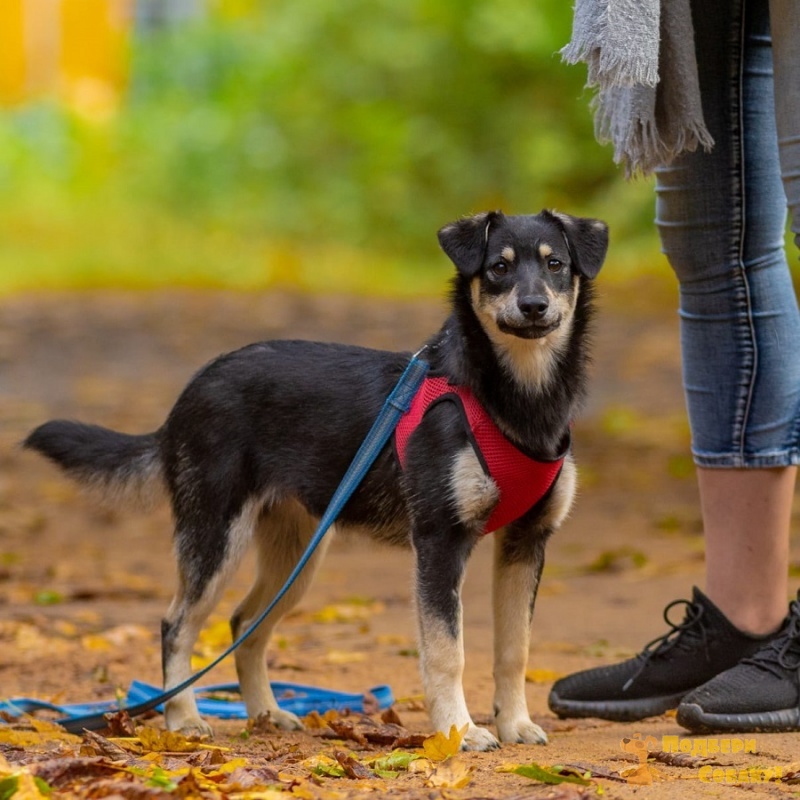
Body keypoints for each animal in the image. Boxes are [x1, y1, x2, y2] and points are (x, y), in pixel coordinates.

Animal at [26, 211, 608, 752]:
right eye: (498, 268)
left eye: (556, 264)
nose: (533, 306)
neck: (513, 400)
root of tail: (186, 398)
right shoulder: (440, 542)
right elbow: (448, 653)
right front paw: (459, 732)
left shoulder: (525, 543)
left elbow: (515, 649)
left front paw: (515, 725)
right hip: (217, 539)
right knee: (178, 626)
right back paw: (184, 720)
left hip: (296, 555)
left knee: (243, 623)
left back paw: (264, 713)